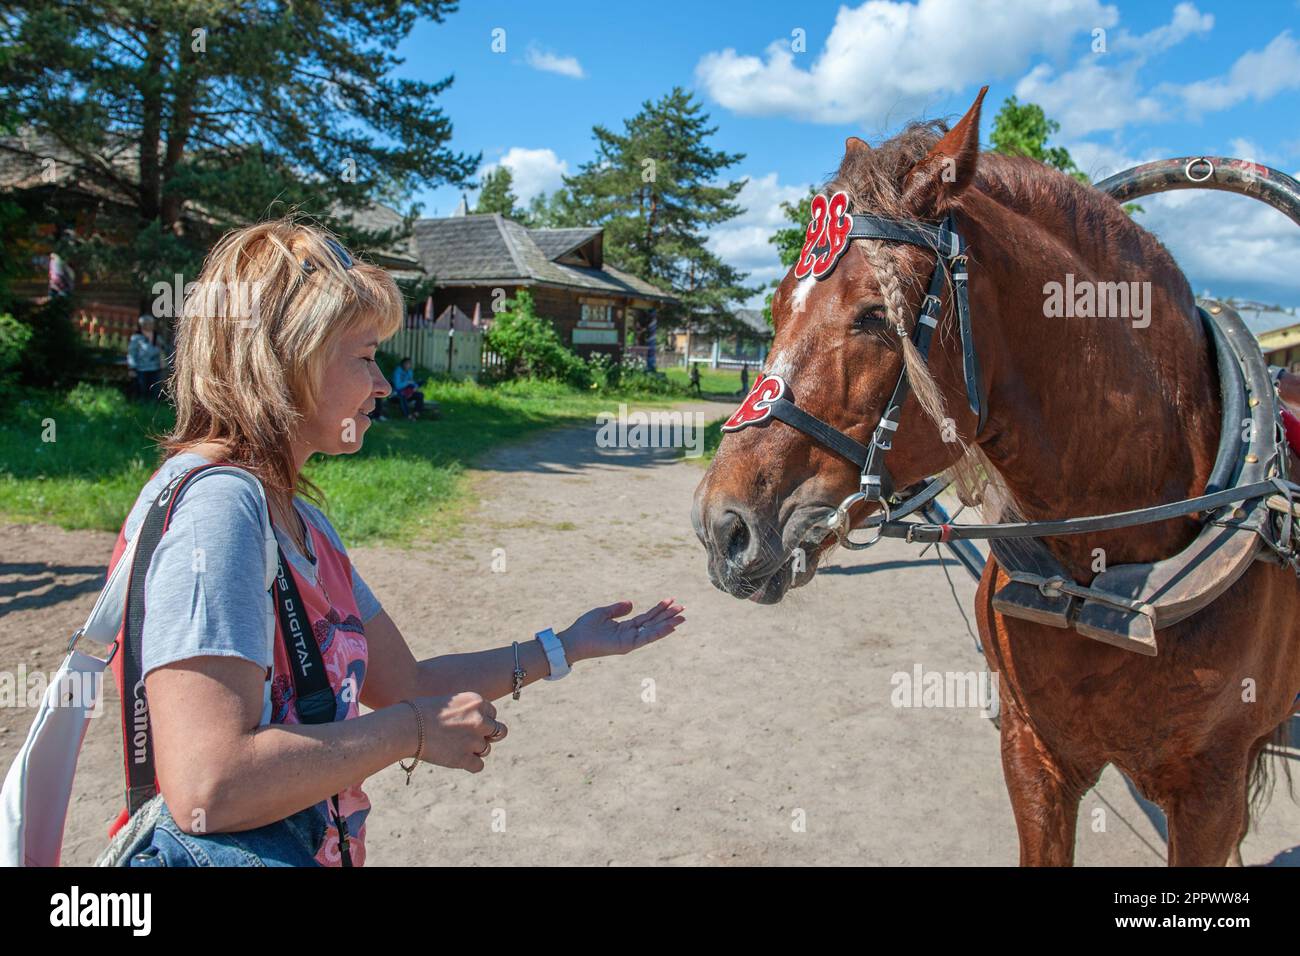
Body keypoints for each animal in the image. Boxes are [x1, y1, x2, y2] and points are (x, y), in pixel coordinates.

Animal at [691, 88, 1300, 866]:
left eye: (875, 316)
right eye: (775, 309)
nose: (722, 524)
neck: (1107, 579)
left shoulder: (1211, 797)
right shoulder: (1032, 754)